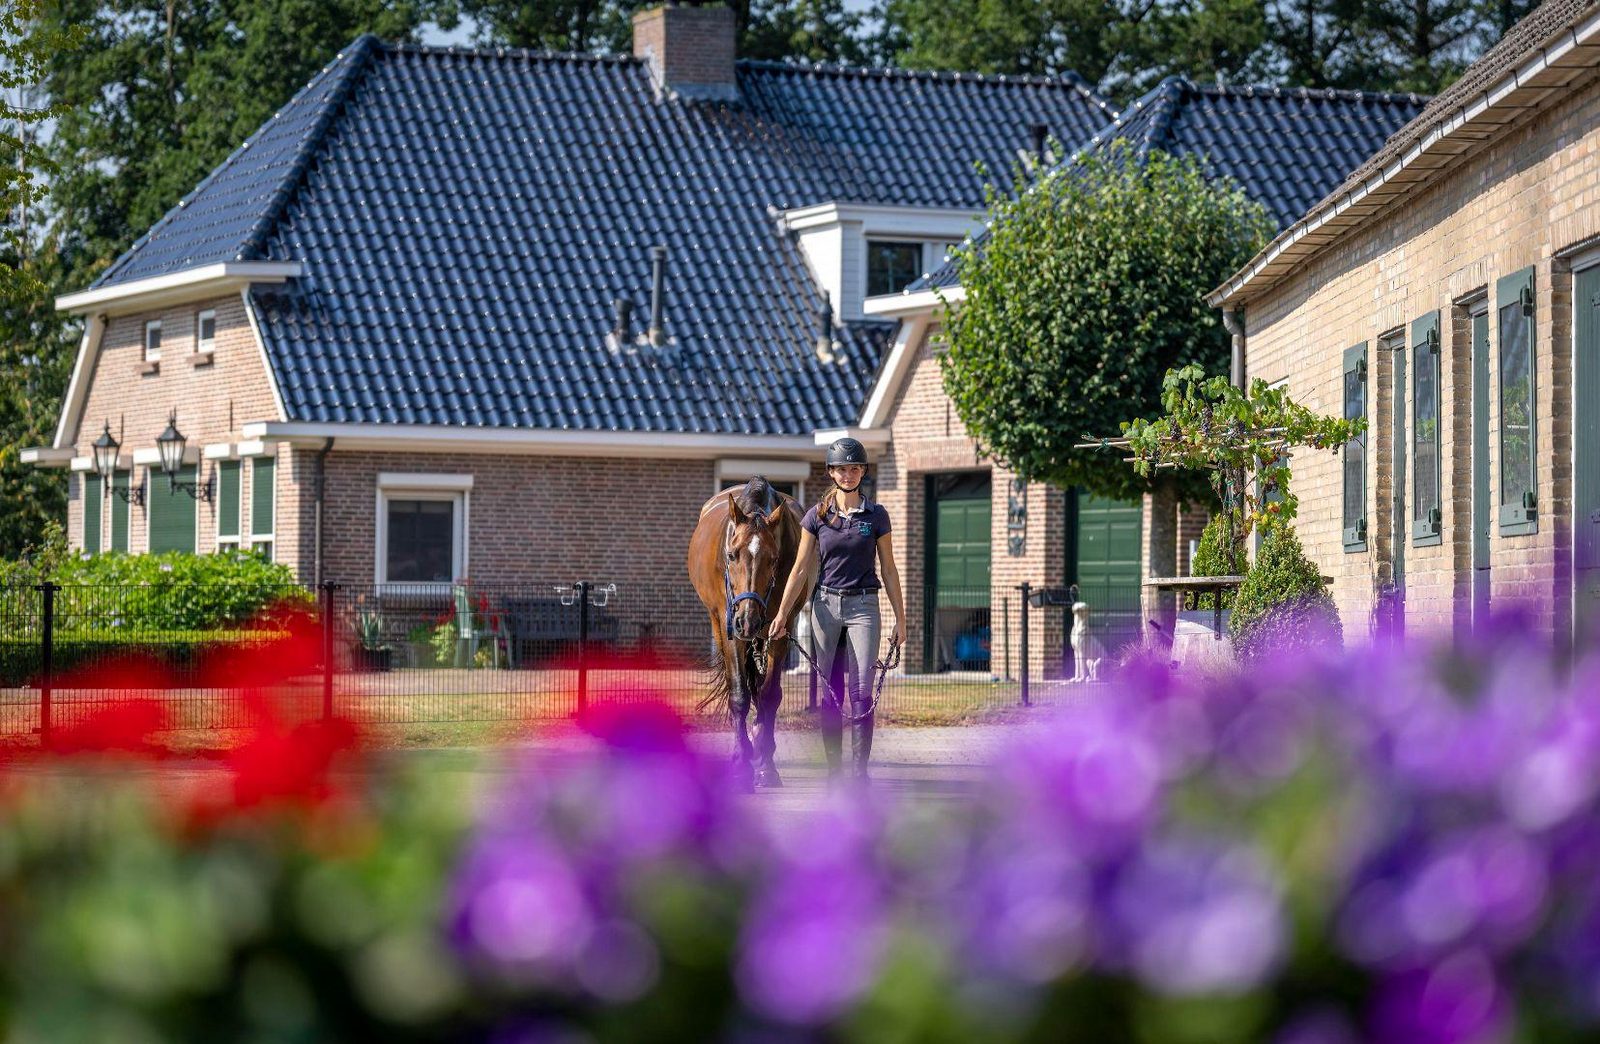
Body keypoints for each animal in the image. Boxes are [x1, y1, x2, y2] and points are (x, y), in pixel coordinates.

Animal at [684, 477, 800, 787]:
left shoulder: (781, 628)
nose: (748, 620)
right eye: (732, 554)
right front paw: (741, 762)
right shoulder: (731, 630)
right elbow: (739, 695)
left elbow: (770, 695)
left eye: (773, 559)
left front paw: (765, 762)